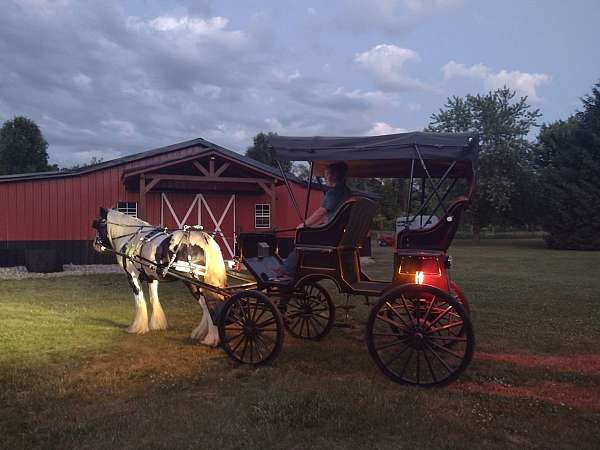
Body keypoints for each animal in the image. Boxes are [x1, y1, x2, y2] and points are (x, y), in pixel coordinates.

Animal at [92, 209, 226, 346]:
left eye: (99, 225)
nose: (95, 244)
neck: (131, 238)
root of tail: (204, 239)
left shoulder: (132, 276)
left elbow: (140, 301)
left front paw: (137, 327)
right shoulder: (151, 277)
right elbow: (153, 298)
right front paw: (157, 324)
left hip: (194, 283)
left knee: (208, 305)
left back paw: (211, 338)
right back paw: (201, 333)